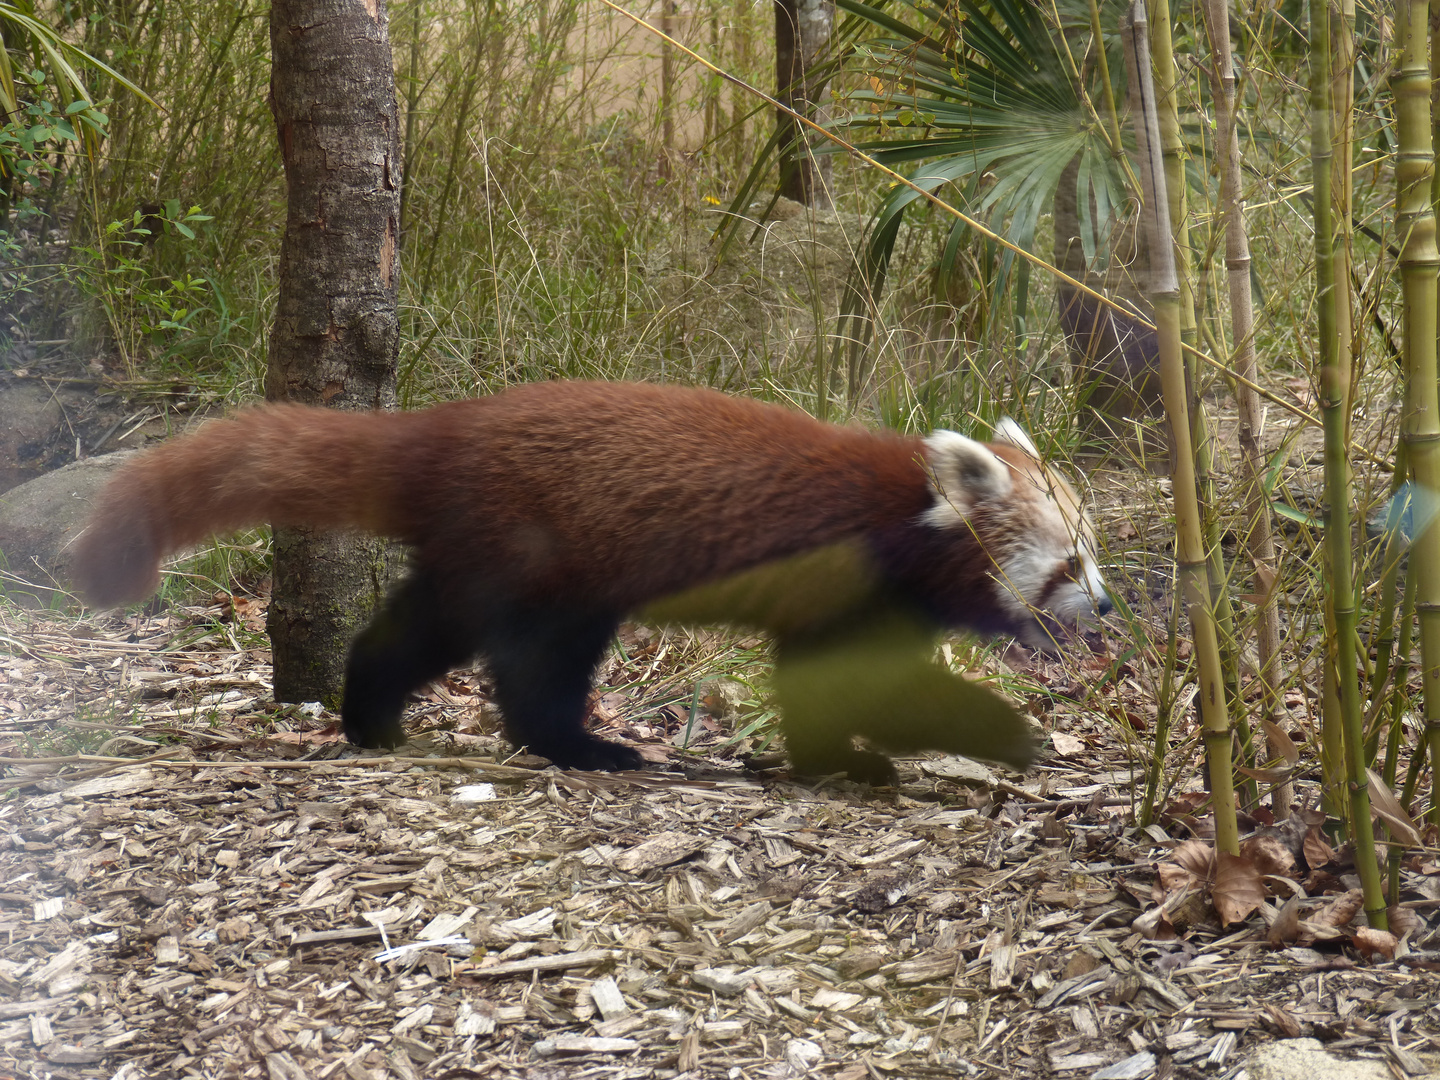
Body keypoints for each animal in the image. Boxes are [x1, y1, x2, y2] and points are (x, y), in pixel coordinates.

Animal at [67, 385, 1105, 783]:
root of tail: (449, 429)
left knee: (410, 631)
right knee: (528, 663)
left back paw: (371, 716)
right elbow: (866, 687)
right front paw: (1003, 733)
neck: (907, 514)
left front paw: (831, 761)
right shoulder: (851, 580)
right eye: (1068, 563)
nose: (1104, 606)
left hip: (486, 553)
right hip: (542, 557)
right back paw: (581, 746)